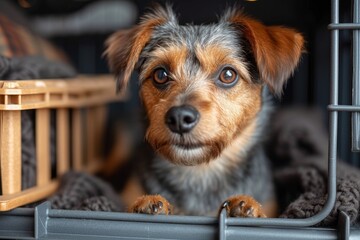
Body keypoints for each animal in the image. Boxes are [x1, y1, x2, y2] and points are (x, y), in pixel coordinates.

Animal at [104, 4, 304, 218]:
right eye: (160, 74)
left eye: (228, 74)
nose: (179, 117)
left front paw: (245, 205)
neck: (200, 172)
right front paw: (145, 202)